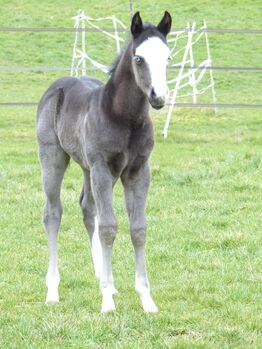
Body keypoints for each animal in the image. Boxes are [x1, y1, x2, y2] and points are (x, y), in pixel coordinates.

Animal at [36, 10, 172, 312]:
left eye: (168, 57)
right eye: (138, 58)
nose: (158, 97)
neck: (125, 118)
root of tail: (57, 85)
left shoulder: (138, 171)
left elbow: (138, 229)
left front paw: (146, 299)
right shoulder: (103, 169)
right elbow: (109, 228)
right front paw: (107, 299)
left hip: (86, 167)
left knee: (87, 209)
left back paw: (100, 275)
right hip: (53, 157)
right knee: (53, 213)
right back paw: (52, 291)